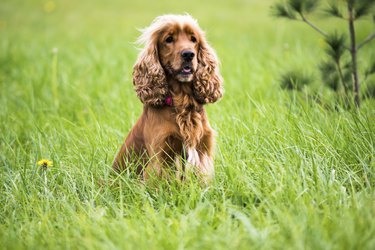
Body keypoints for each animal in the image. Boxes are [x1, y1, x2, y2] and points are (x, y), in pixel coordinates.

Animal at [111, 14, 223, 182]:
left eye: (193, 39)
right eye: (169, 39)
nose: (188, 54)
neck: (182, 102)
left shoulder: (203, 149)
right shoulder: (160, 156)